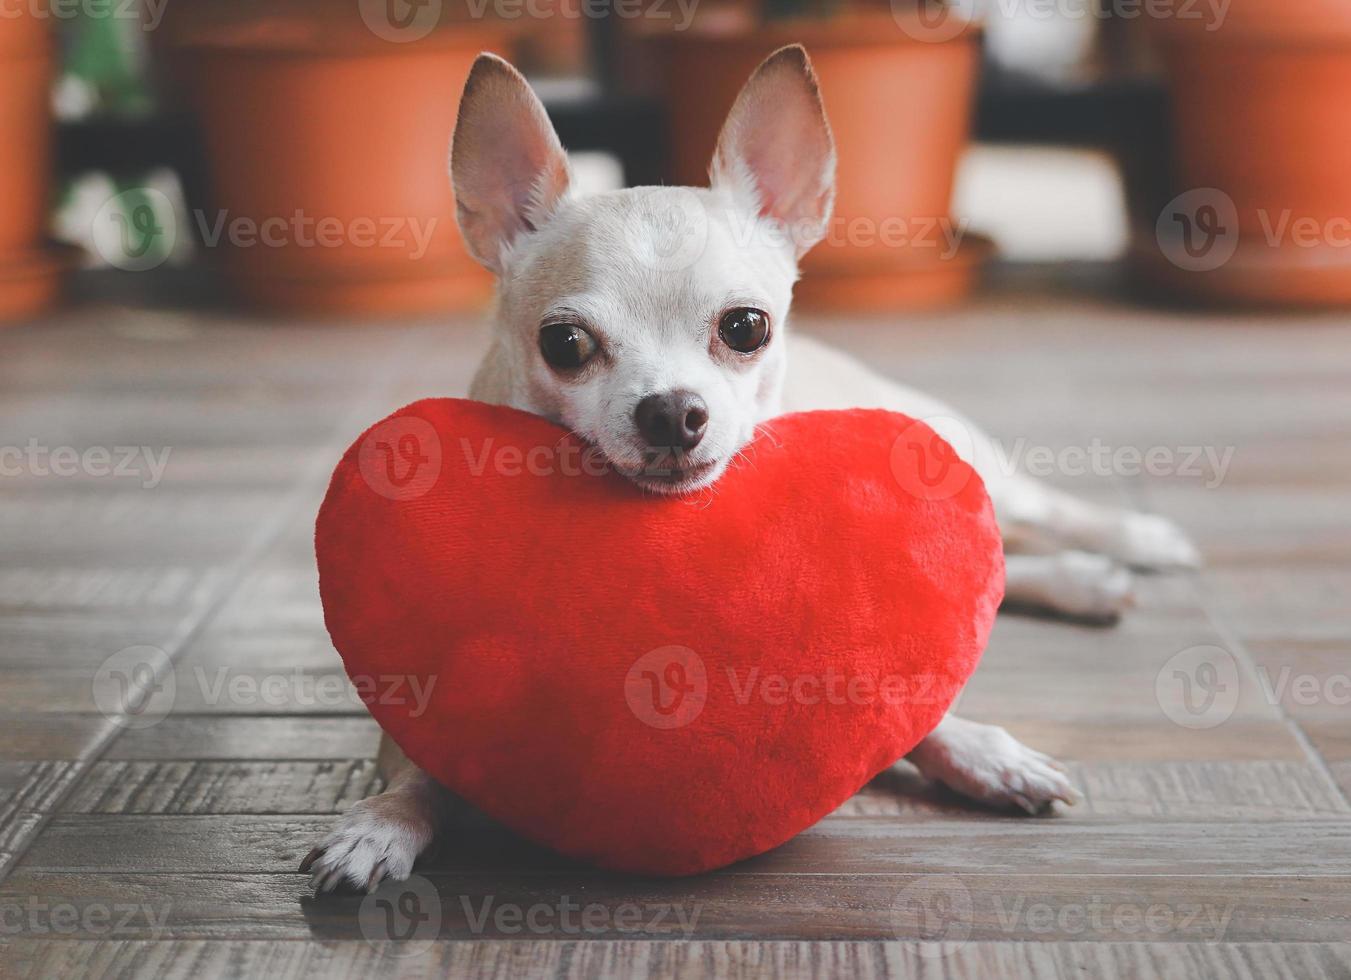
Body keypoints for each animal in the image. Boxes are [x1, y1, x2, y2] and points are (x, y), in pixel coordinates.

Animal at [301, 49, 1199, 897]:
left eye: (745, 328)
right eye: (564, 344)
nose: (671, 411)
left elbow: (913, 704)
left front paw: (980, 751)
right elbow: (417, 767)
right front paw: (381, 822)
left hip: (971, 466)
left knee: (1034, 520)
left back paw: (1127, 542)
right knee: (1005, 568)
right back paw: (1086, 580)